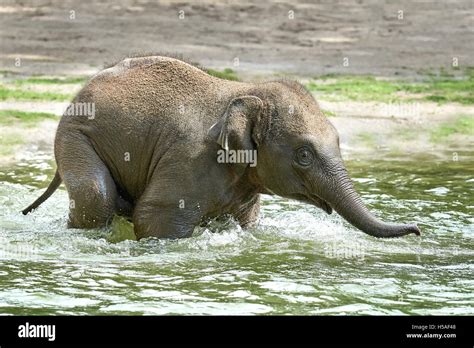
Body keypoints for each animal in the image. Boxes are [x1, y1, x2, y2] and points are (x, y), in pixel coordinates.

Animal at [24, 55, 420, 239]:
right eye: (304, 155)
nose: (417, 230)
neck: (244, 91)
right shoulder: (190, 161)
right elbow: (155, 217)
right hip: (74, 137)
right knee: (96, 195)